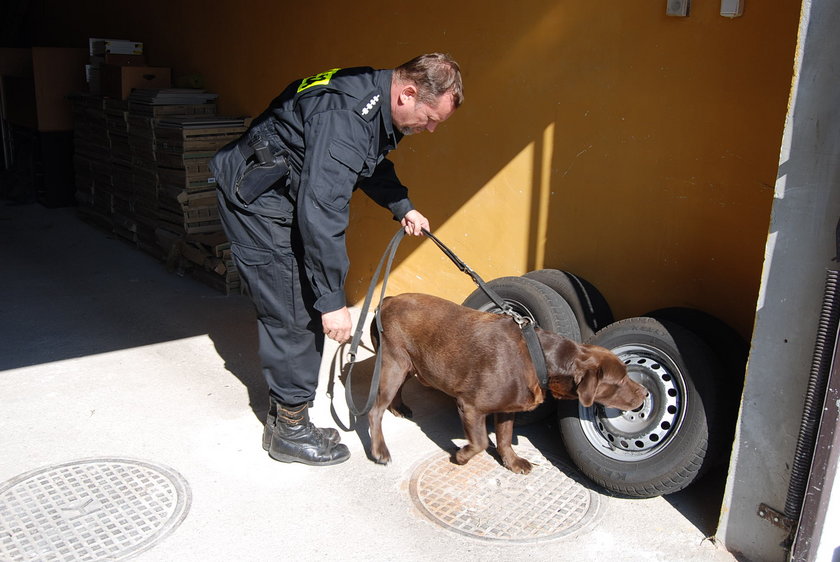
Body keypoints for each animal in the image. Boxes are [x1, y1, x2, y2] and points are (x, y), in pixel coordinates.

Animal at [370, 294, 648, 472]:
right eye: (620, 380)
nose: (645, 393)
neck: (540, 357)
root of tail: (387, 300)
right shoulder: (470, 406)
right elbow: (481, 442)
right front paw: (461, 456)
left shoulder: (506, 409)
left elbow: (504, 438)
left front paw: (512, 462)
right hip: (393, 363)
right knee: (375, 411)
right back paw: (380, 449)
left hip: (408, 364)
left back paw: (398, 406)